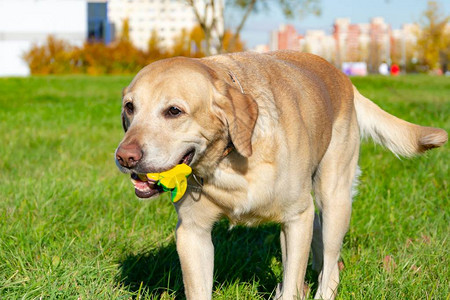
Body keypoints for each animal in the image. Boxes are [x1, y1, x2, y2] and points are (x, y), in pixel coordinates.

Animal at [115, 50, 446, 298]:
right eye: (130, 107)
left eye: (174, 111)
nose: (125, 157)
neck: (230, 158)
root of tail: (343, 78)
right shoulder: (192, 233)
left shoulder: (296, 218)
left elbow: (292, 286)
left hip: (333, 198)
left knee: (330, 266)